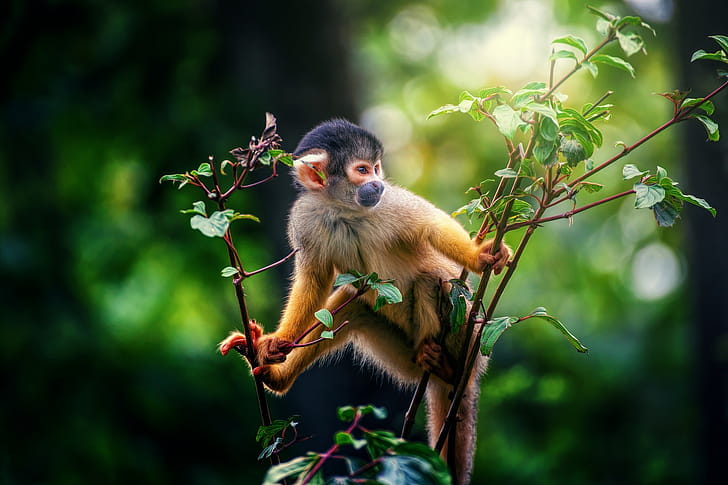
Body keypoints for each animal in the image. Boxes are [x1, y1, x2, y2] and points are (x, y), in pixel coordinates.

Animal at [219, 119, 511, 484]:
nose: (376, 183)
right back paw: (276, 377)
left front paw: (478, 256)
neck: (345, 209)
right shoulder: (304, 217)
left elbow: (431, 227)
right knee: (353, 305)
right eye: (361, 170)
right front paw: (277, 342)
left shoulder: (391, 201)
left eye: (376, 168)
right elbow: (313, 282)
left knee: (433, 279)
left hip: (469, 339)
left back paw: (445, 364)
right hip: (401, 357)